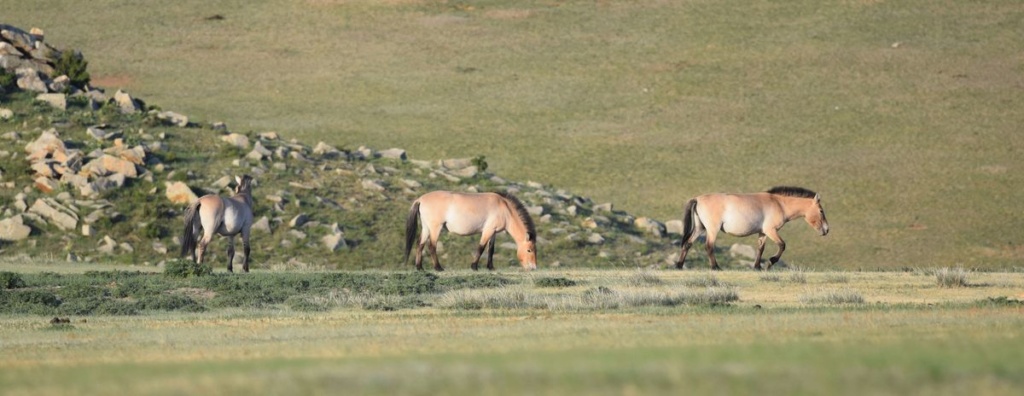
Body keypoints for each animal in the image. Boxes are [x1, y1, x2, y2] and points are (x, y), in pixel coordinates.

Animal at [403, 190, 540, 272]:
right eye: (529, 250)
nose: (533, 267)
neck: (505, 209)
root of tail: (420, 199)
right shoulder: (488, 230)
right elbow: (481, 248)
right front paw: (474, 266)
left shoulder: (494, 233)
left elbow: (491, 249)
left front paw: (491, 267)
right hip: (435, 228)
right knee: (432, 246)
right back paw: (438, 267)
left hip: (426, 228)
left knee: (420, 244)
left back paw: (419, 267)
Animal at [675, 187, 827, 272]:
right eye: (821, 211)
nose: (826, 230)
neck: (779, 204)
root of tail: (697, 199)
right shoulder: (771, 230)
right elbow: (782, 245)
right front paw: (770, 262)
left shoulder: (763, 233)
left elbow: (760, 249)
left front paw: (757, 267)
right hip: (712, 229)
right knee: (709, 246)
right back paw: (715, 267)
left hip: (700, 228)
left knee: (688, 243)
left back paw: (679, 265)